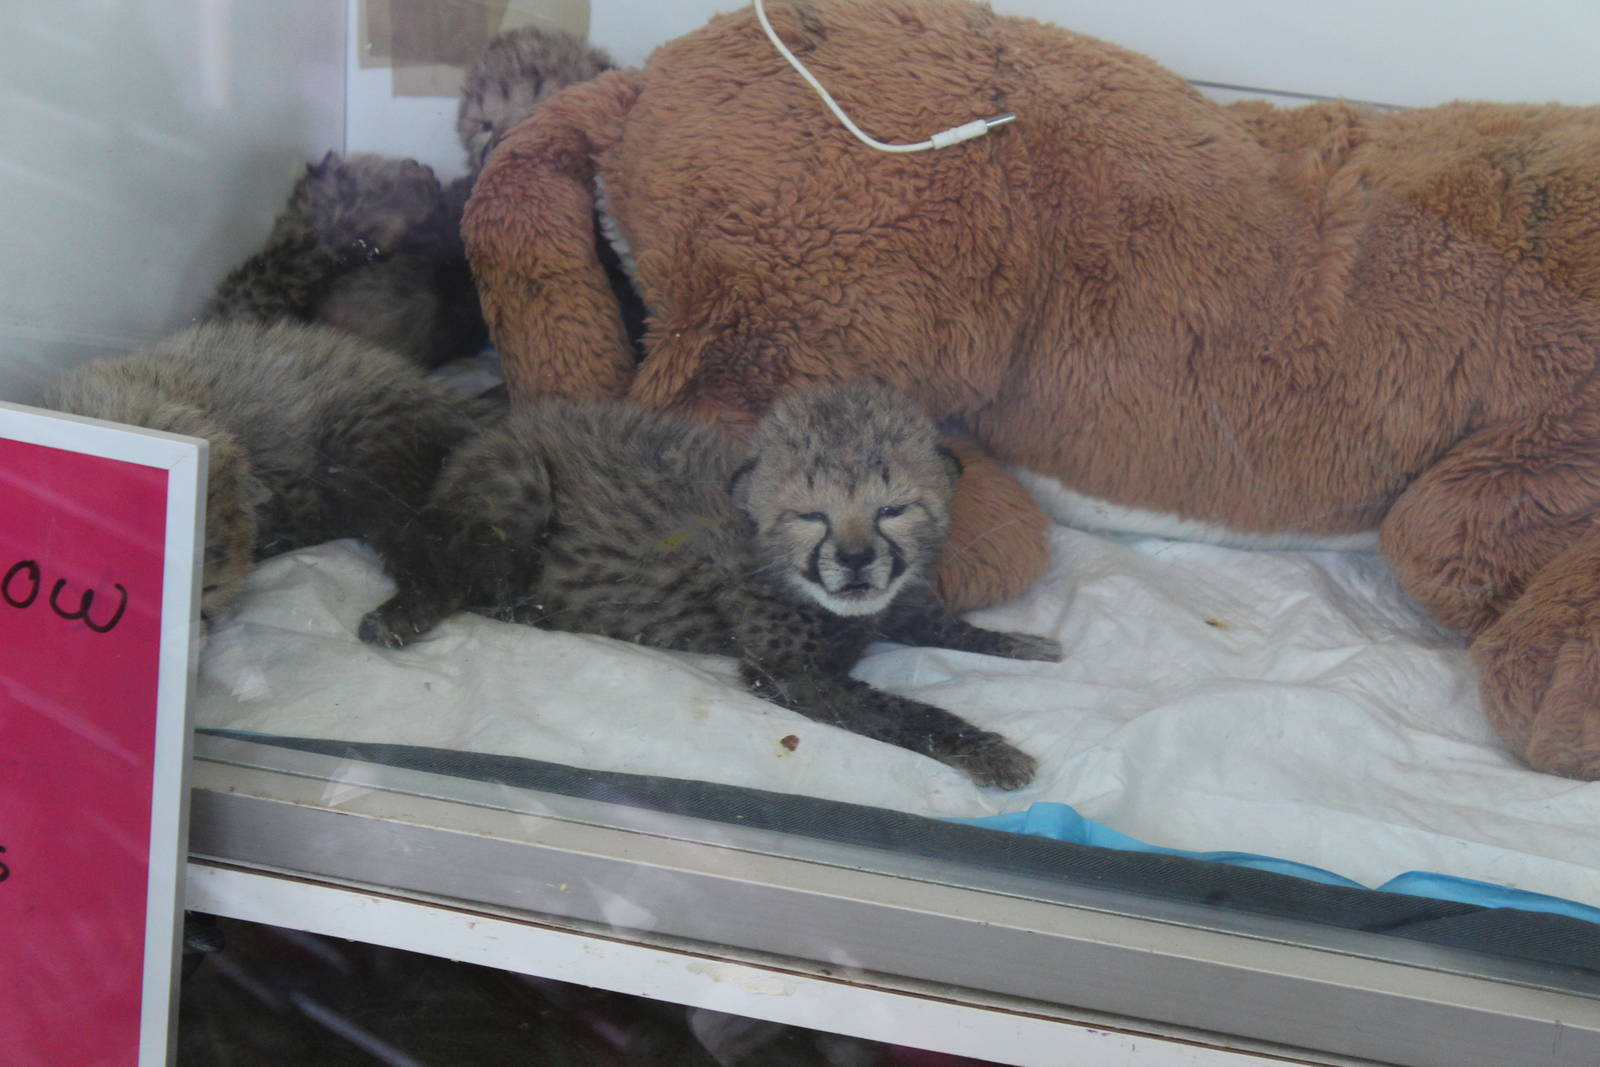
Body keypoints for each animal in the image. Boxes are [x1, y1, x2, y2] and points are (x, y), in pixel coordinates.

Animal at [359, 381, 1059, 788]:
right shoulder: (792, 675)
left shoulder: (894, 602)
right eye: (811, 515)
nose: (858, 560)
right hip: (518, 484)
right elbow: (906, 712)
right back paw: (412, 613)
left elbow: (941, 623)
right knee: (444, 572)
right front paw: (989, 750)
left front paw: (1022, 646)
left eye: (893, 509)